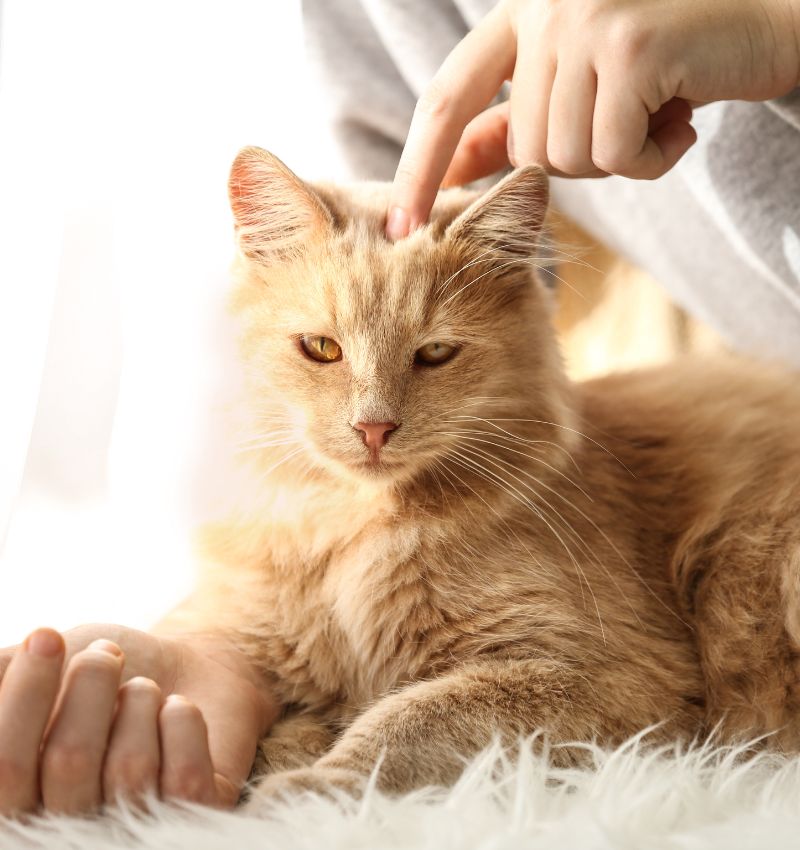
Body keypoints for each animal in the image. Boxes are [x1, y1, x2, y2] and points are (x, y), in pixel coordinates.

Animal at [169, 146, 800, 800]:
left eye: (435, 354)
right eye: (321, 348)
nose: (374, 428)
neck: (362, 539)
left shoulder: (613, 676)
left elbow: (406, 719)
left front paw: (306, 791)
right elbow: (301, 722)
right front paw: (277, 763)